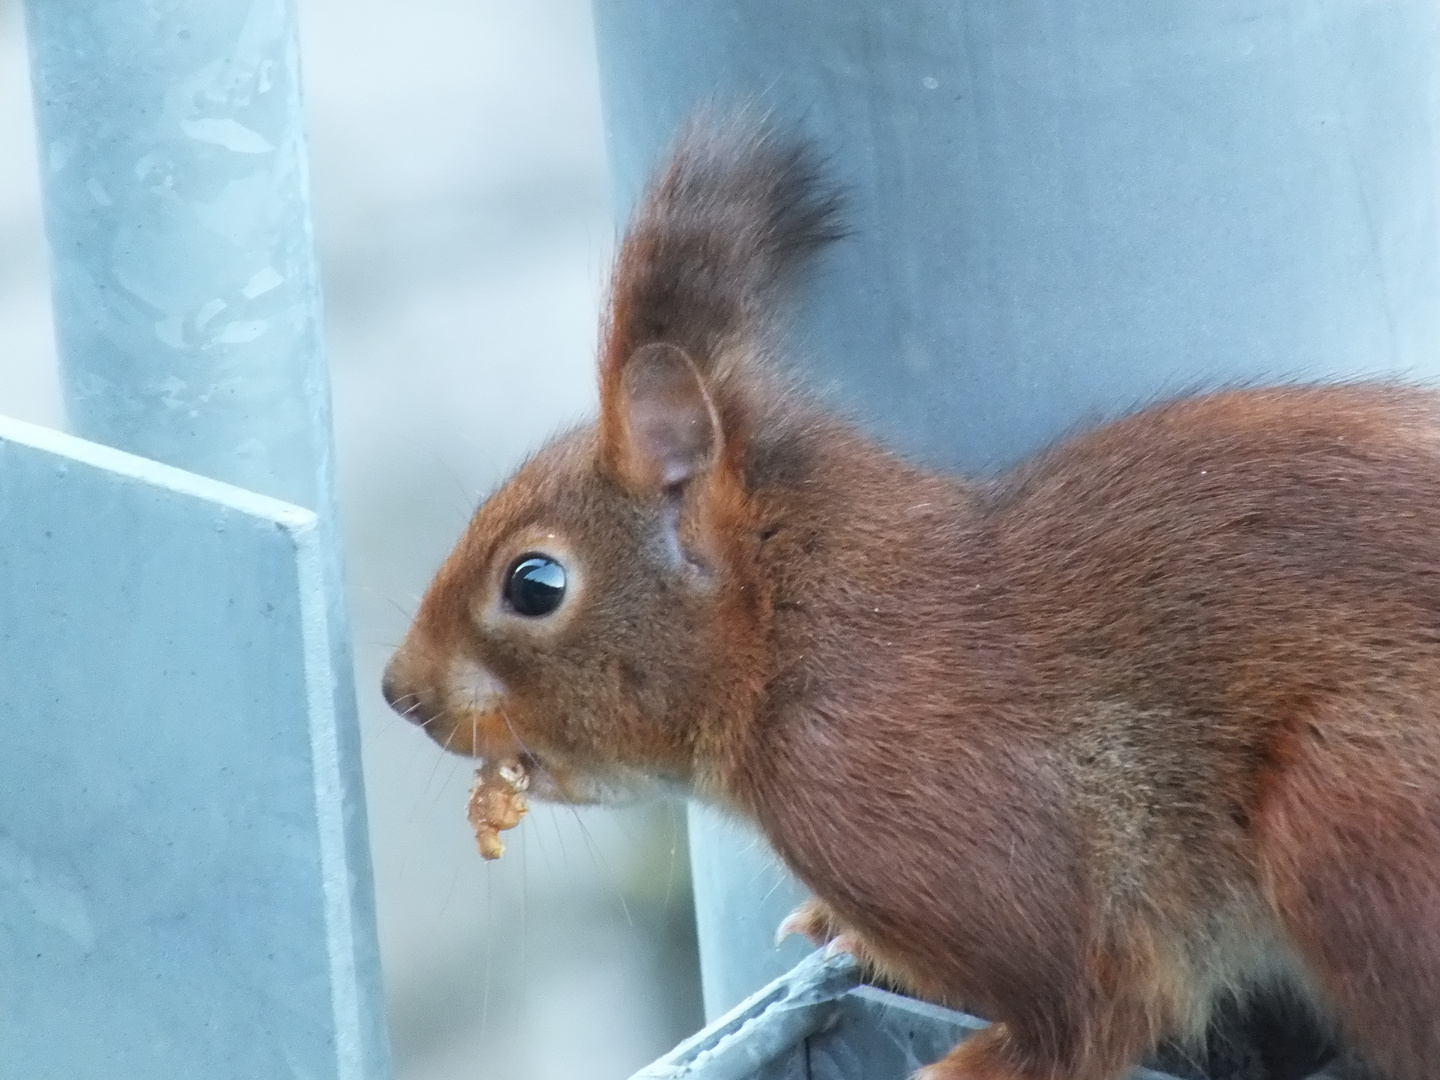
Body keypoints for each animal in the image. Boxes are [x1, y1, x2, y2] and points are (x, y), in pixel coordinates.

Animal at [383, 118, 1440, 1080]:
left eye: (534, 584)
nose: (400, 693)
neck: (800, 638)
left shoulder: (919, 819)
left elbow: (1092, 1009)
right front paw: (847, 938)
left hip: (1351, 819)